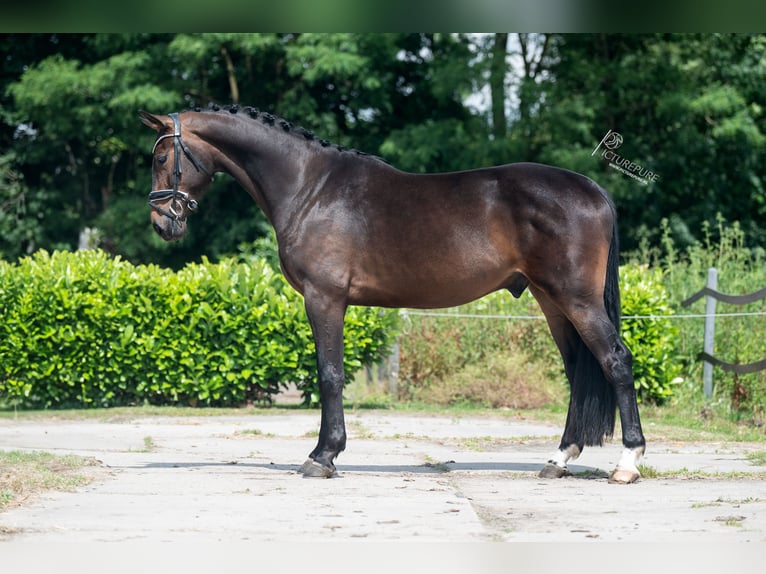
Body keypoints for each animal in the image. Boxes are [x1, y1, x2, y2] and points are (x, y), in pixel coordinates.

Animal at [140, 104, 648, 486]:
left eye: (162, 158)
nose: (162, 224)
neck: (309, 188)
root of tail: (594, 190)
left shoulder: (324, 299)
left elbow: (330, 374)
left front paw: (323, 457)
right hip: (551, 300)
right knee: (578, 371)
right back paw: (559, 459)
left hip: (576, 299)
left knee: (616, 360)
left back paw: (627, 463)